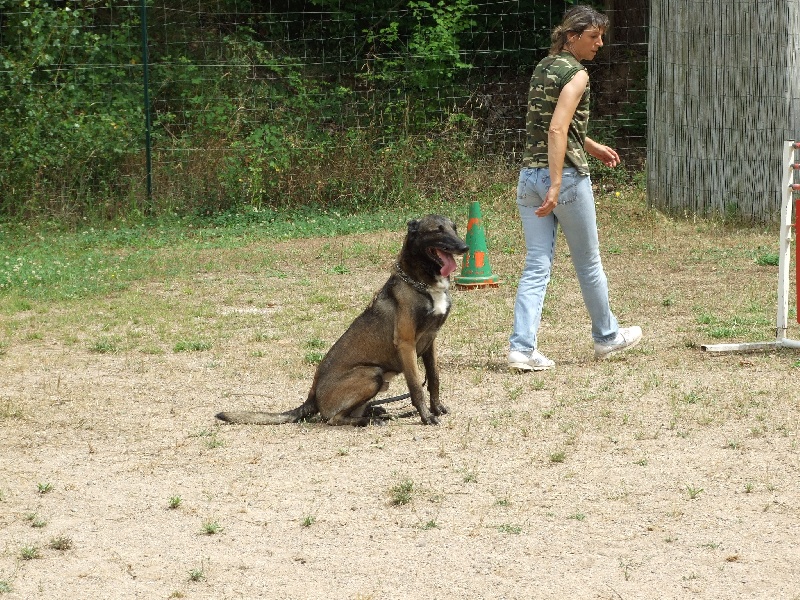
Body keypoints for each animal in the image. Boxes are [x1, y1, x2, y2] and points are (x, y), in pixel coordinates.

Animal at [216, 216, 472, 426]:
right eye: (437, 230)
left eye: (455, 228)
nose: (465, 247)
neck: (422, 283)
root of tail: (313, 396)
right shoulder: (406, 344)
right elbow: (416, 387)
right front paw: (426, 417)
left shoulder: (431, 342)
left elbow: (434, 379)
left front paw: (436, 408)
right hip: (371, 375)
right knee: (332, 419)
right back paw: (369, 419)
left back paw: (380, 412)